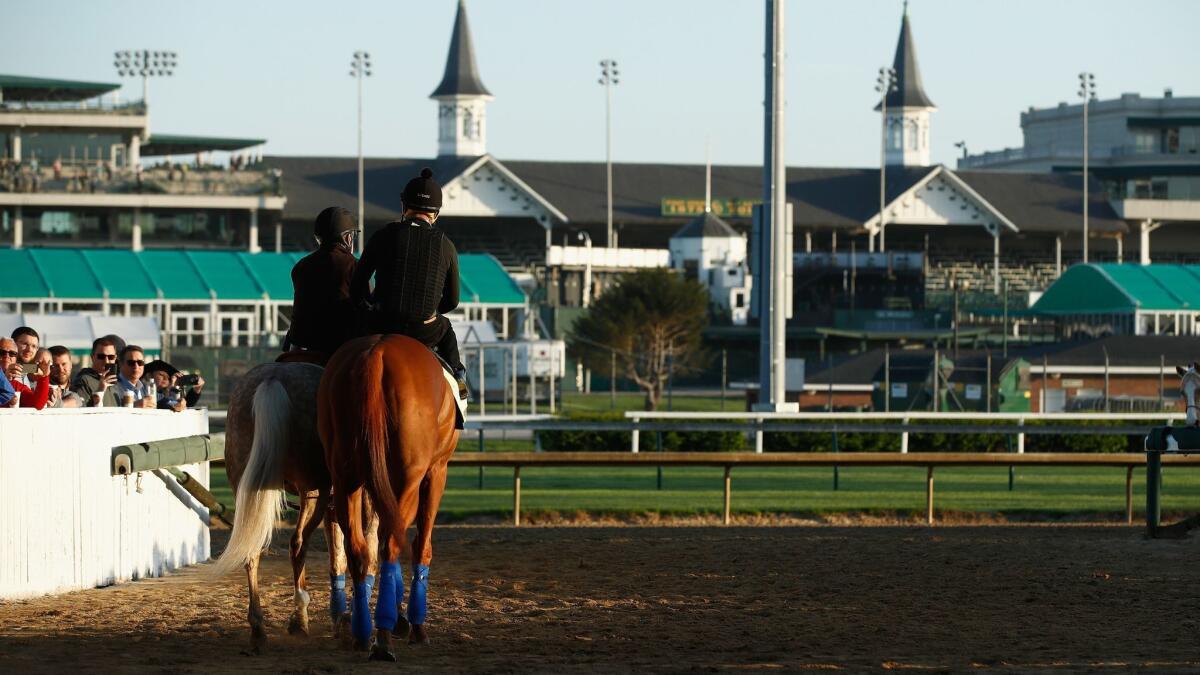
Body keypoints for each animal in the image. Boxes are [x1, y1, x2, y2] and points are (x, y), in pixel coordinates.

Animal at [319, 333, 458, 658]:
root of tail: (376, 352)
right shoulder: (436, 472)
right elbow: (421, 545)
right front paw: (414, 625)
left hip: (346, 478)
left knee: (359, 548)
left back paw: (362, 632)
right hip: (408, 476)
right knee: (392, 542)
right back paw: (382, 634)